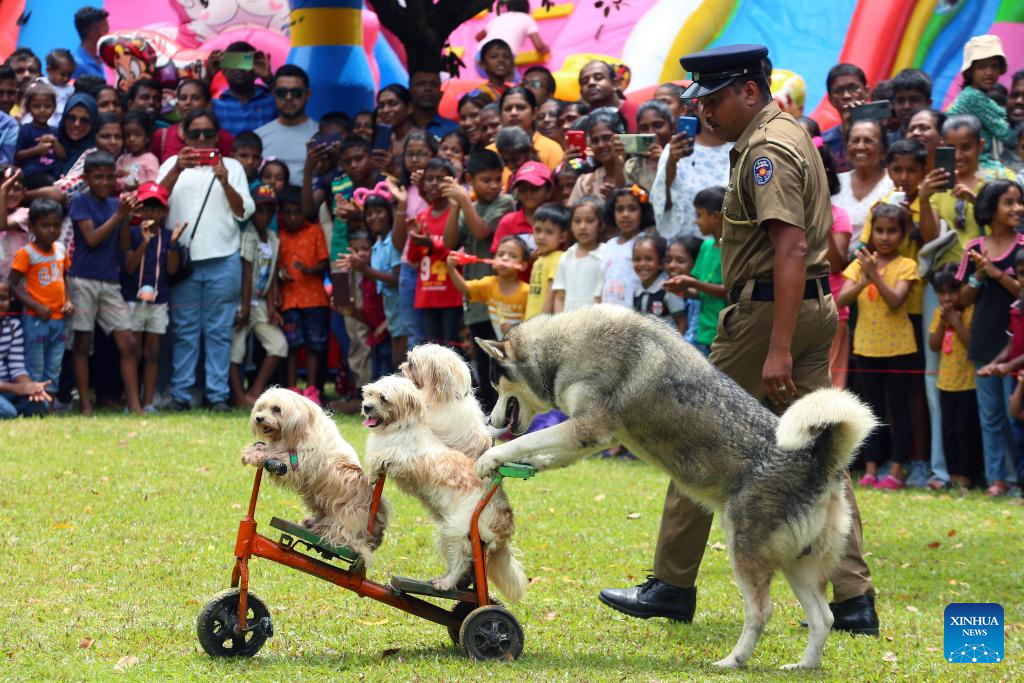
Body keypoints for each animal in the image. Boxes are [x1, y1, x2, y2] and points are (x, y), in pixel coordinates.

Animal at [239, 387, 387, 565]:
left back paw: (325, 530)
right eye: (261, 408)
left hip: (347, 514)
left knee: (343, 534)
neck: (302, 427)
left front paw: (254, 454)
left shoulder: (299, 460)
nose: (259, 418)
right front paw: (255, 450)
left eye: (276, 409)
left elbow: (277, 454)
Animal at [362, 374, 528, 602]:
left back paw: (446, 583)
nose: (366, 407)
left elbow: (383, 456)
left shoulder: (407, 458)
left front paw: (372, 473)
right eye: (369, 393)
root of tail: (504, 517)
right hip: (449, 533)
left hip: (457, 530)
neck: (401, 428)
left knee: (463, 560)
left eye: (383, 398)